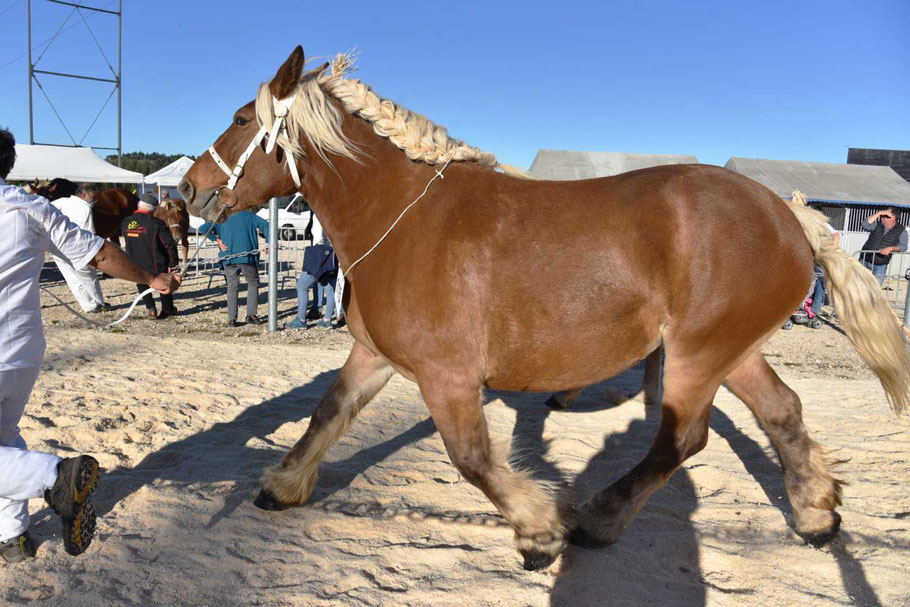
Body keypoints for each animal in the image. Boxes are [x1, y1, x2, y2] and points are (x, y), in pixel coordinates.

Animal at [178, 46, 910, 568]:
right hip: (732, 349)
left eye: (241, 119)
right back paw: (816, 516)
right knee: (782, 413)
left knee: (682, 439)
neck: (400, 217)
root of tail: (787, 214)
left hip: (699, 353)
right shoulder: (375, 354)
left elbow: (472, 458)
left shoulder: (447, 376)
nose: (189, 190)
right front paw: (282, 485)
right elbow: (327, 415)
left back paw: (600, 519)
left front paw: (538, 531)